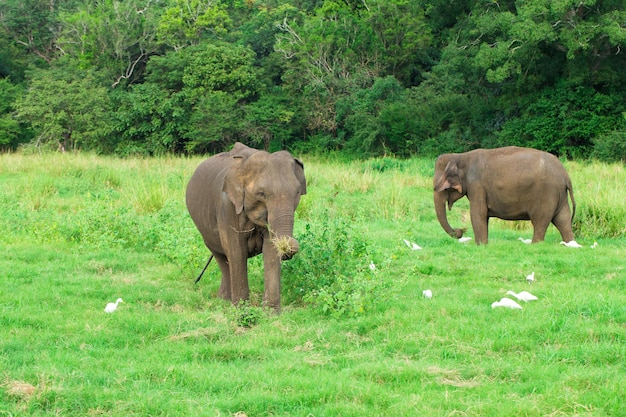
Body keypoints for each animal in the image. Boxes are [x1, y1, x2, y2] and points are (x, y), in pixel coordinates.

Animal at [184, 143, 306, 308]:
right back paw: (225, 300)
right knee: (222, 257)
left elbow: (270, 251)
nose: (289, 247)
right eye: (261, 194)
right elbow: (237, 251)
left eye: (297, 192)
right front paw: (241, 309)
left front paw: (270, 311)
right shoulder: (227, 207)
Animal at [434, 146, 576, 244]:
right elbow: (482, 215)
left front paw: (480, 245)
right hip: (560, 195)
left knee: (540, 221)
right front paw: (484, 244)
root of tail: (565, 174)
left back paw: (534, 244)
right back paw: (570, 244)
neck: (461, 156)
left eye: (443, 188)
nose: (460, 231)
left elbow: (478, 213)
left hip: (546, 194)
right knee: (563, 220)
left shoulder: (476, 185)